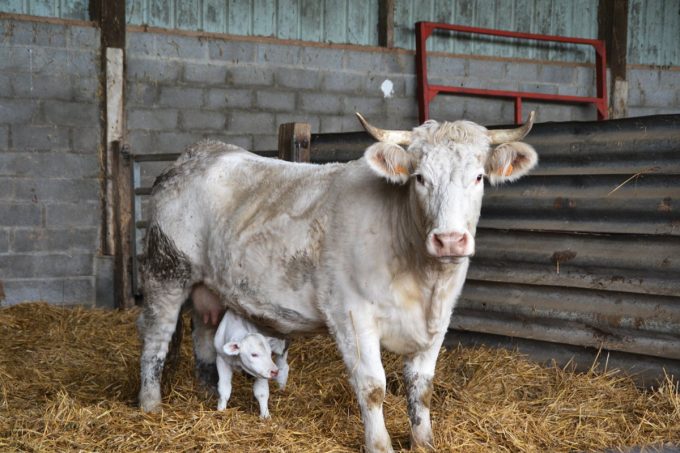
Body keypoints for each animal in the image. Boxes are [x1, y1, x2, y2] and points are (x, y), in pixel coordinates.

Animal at [137, 112, 538, 452]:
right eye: (420, 178)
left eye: (479, 177)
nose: (450, 240)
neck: (424, 282)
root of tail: (198, 153)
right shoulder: (351, 315)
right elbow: (372, 386)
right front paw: (379, 445)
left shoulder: (438, 322)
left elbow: (422, 387)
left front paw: (424, 442)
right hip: (166, 271)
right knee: (155, 339)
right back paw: (150, 405)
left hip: (208, 287)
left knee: (204, 334)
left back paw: (208, 394)